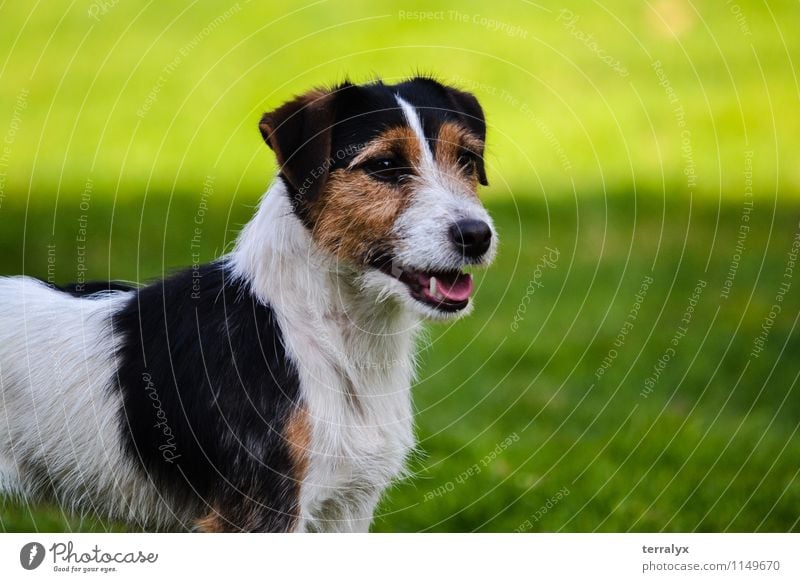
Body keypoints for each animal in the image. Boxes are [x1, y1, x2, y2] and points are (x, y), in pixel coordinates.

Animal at [0, 77, 496, 532]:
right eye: (385, 165)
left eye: (466, 160)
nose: (477, 235)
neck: (317, 333)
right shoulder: (262, 511)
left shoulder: (347, 507)